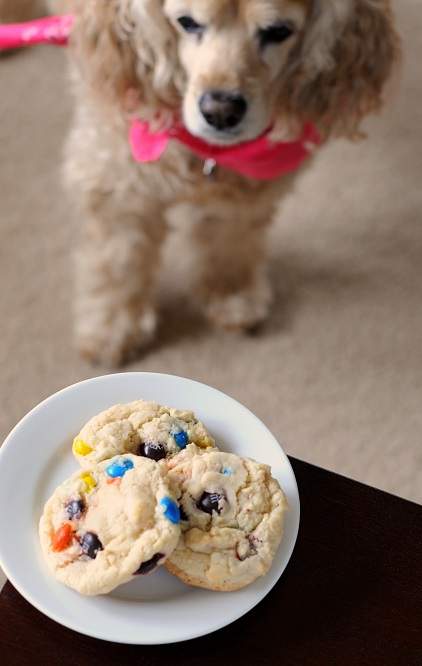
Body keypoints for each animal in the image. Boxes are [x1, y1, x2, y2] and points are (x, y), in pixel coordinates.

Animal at [52, 0, 398, 364]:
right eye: (187, 23)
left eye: (278, 31)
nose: (220, 111)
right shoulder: (115, 179)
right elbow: (119, 259)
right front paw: (112, 327)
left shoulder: (245, 193)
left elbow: (229, 242)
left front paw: (231, 296)